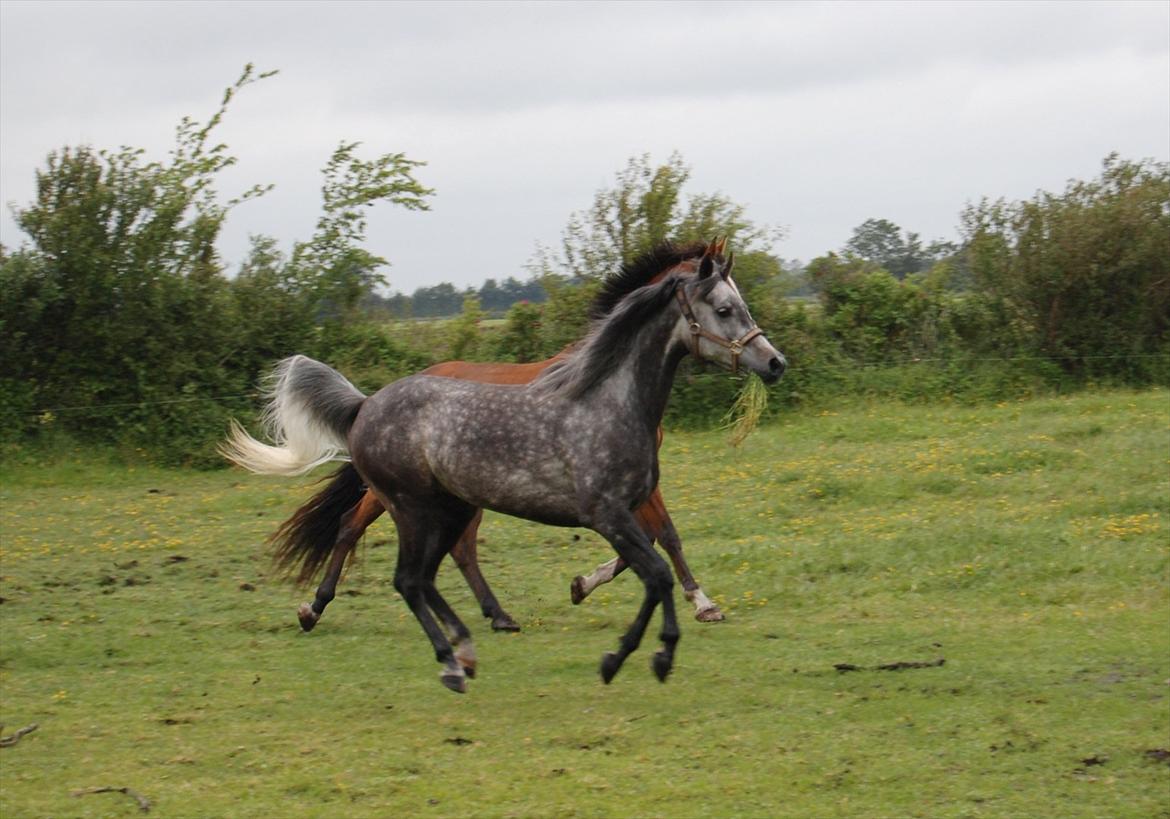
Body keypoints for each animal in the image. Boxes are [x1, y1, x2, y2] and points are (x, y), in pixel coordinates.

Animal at [280, 239, 720, 631]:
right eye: (722, 307)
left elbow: (651, 537)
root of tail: (371, 403)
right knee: (355, 526)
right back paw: (314, 608)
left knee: (450, 546)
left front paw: (582, 585)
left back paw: (496, 615)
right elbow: (666, 535)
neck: (607, 381)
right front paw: (703, 603)